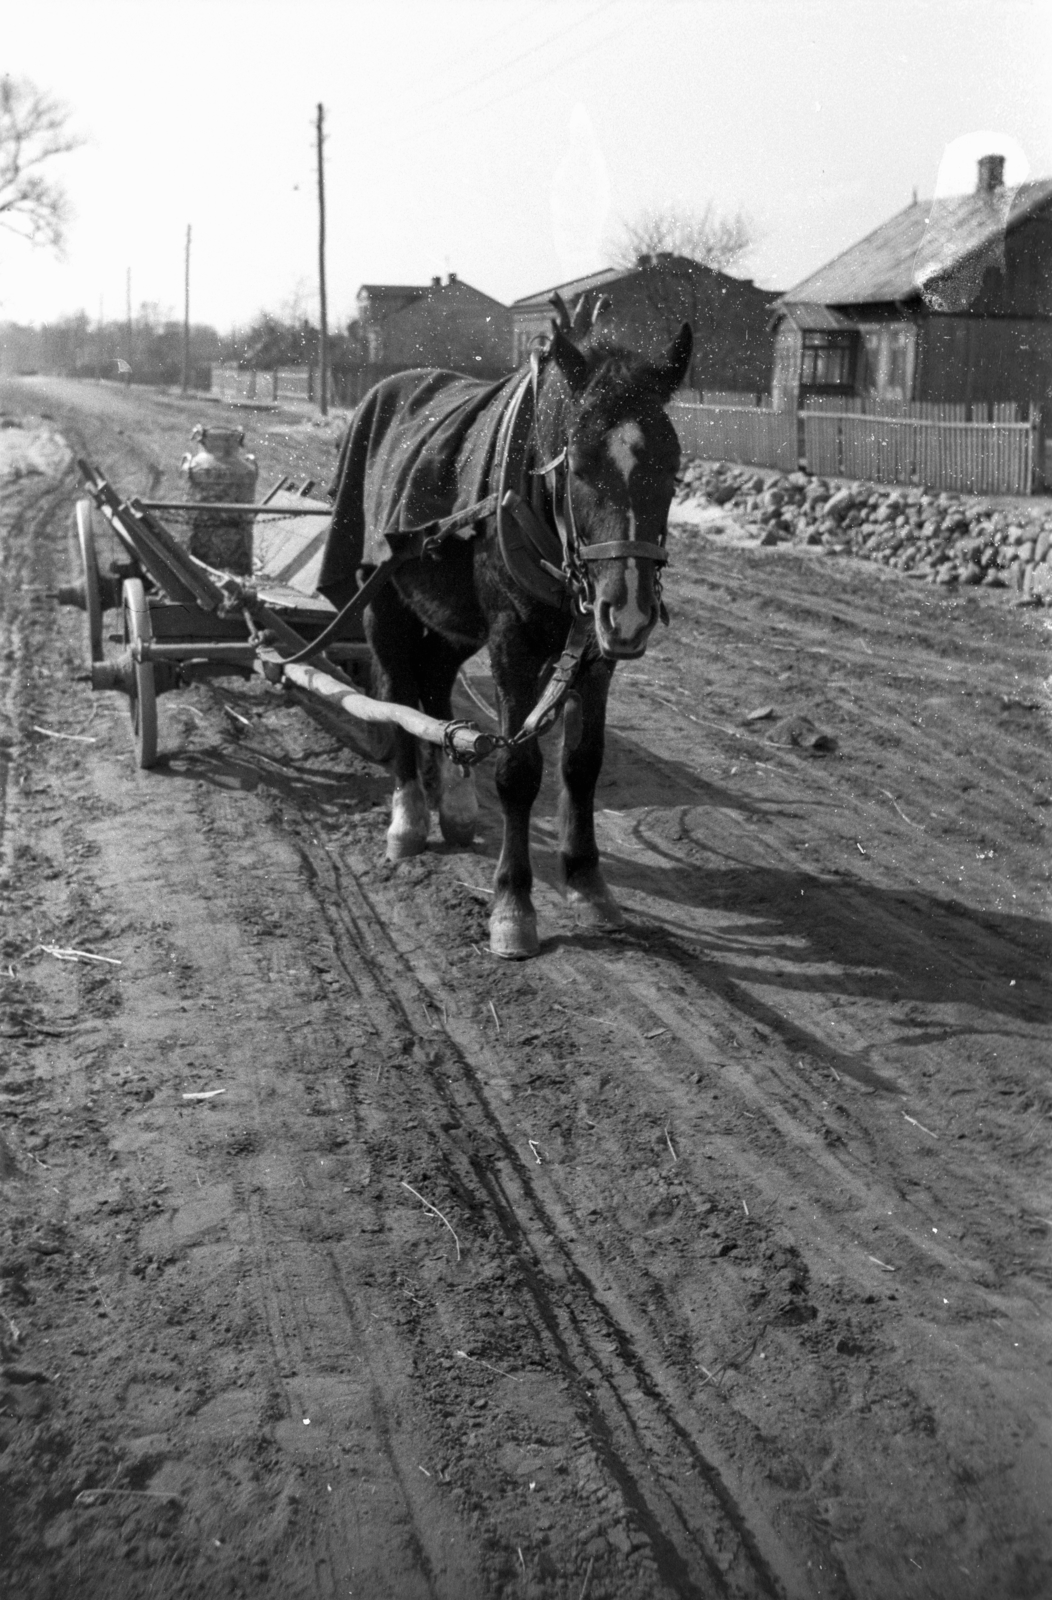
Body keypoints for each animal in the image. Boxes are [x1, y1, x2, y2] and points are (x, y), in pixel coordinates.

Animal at [314, 302, 693, 960]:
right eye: (581, 464)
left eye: (670, 469)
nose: (630, 610)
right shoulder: (512, 644)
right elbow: (519, 772)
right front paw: (513, 905)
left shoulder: (594, 653)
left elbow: (582, 764)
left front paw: (587, 881)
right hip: (382, 600)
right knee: (393, 694)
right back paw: (409, 817)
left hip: (452, 621)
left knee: (434, 689)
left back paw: (456, 804)